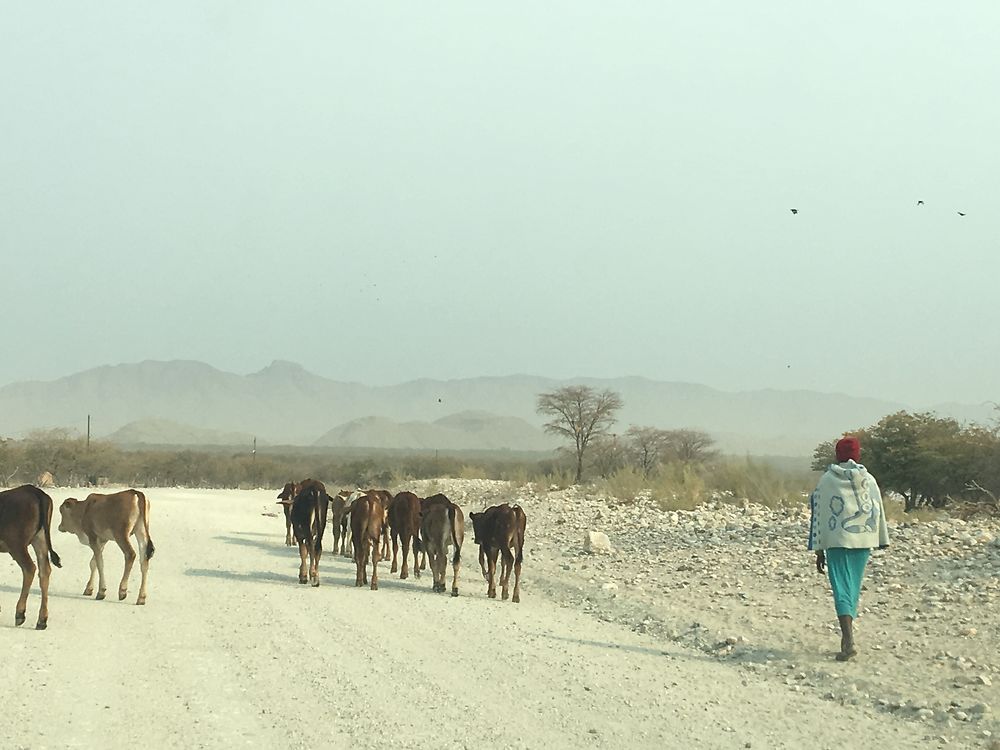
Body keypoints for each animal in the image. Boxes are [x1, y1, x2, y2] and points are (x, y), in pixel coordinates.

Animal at [0, 488, 62, 628]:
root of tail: (37, 492)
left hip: (17, 544)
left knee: (29, 568)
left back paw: (20, 614)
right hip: (40, 538)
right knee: (45, 571)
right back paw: (42, 620)